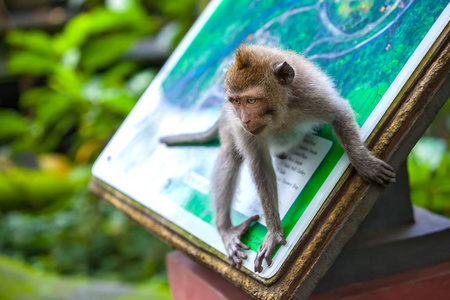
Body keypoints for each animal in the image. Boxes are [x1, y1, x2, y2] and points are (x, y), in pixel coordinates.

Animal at [160, 44, 396, 272]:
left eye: (251, 100)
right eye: (236, 101)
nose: (245, 119)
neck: (279, 112)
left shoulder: (311, 95)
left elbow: (339, 114)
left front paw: (364, 163)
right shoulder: (243, 130)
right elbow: (260, 167)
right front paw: (274, 232)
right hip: (230, 124)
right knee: (229, 156)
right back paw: (226, 229)